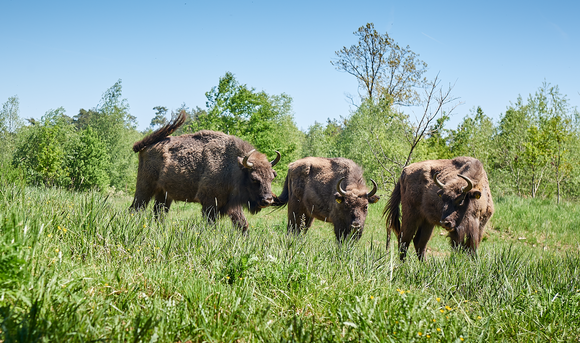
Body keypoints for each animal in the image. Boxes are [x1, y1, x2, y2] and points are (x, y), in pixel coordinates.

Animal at [130, 111, 280, 235]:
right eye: (254, 178)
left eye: (272, 177)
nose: (267, 200)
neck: (234, 166)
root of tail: (145, 147)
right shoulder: (210, 203)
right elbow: (212, 224)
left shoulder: (230, 204)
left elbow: (242, 224)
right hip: (145, 188)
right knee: (136, 208)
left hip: (164, 195)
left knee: (159, 213)